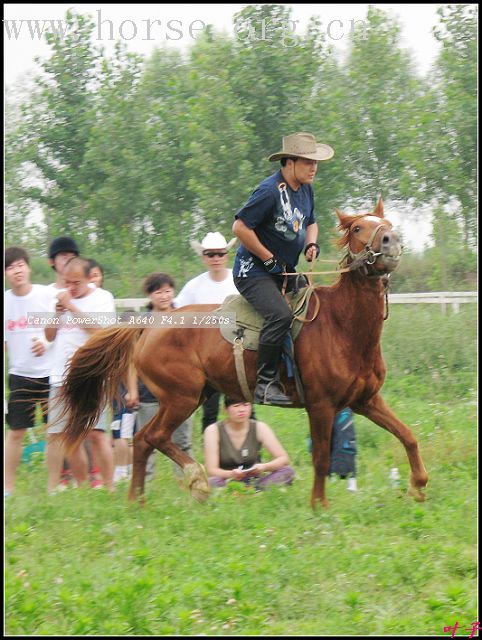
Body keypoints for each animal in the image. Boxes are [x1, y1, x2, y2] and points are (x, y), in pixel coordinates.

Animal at [61, 198, 430, 508]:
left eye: (386, 222)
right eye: (357, 229)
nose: (391, 242)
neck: (342, 325)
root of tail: (150, 324)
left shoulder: (366, 400)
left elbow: (408, 435)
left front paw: (418, 485)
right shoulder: (321, 405)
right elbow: (322, 458)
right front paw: (319, 505)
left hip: (191, 396)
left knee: (143, 441)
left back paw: (139, 500)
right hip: (181, 397)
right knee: (151, 437)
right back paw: (192, 481)